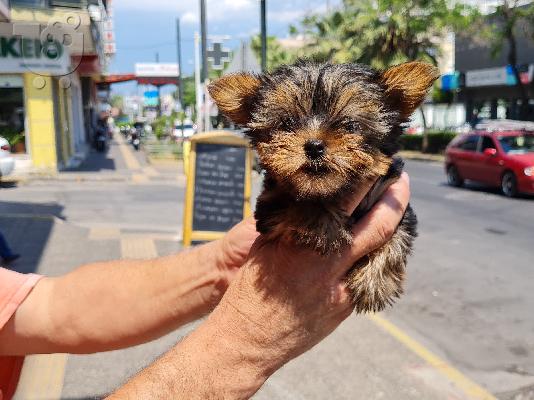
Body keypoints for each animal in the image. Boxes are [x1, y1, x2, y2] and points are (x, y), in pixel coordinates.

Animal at [209, 61, 440, 314]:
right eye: (286, 123)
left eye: (350, 124)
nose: (314, 146)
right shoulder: (270, 204)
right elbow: (299, 200)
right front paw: (325, 226)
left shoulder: (391, 195)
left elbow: (398, 235)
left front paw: (375, 281)